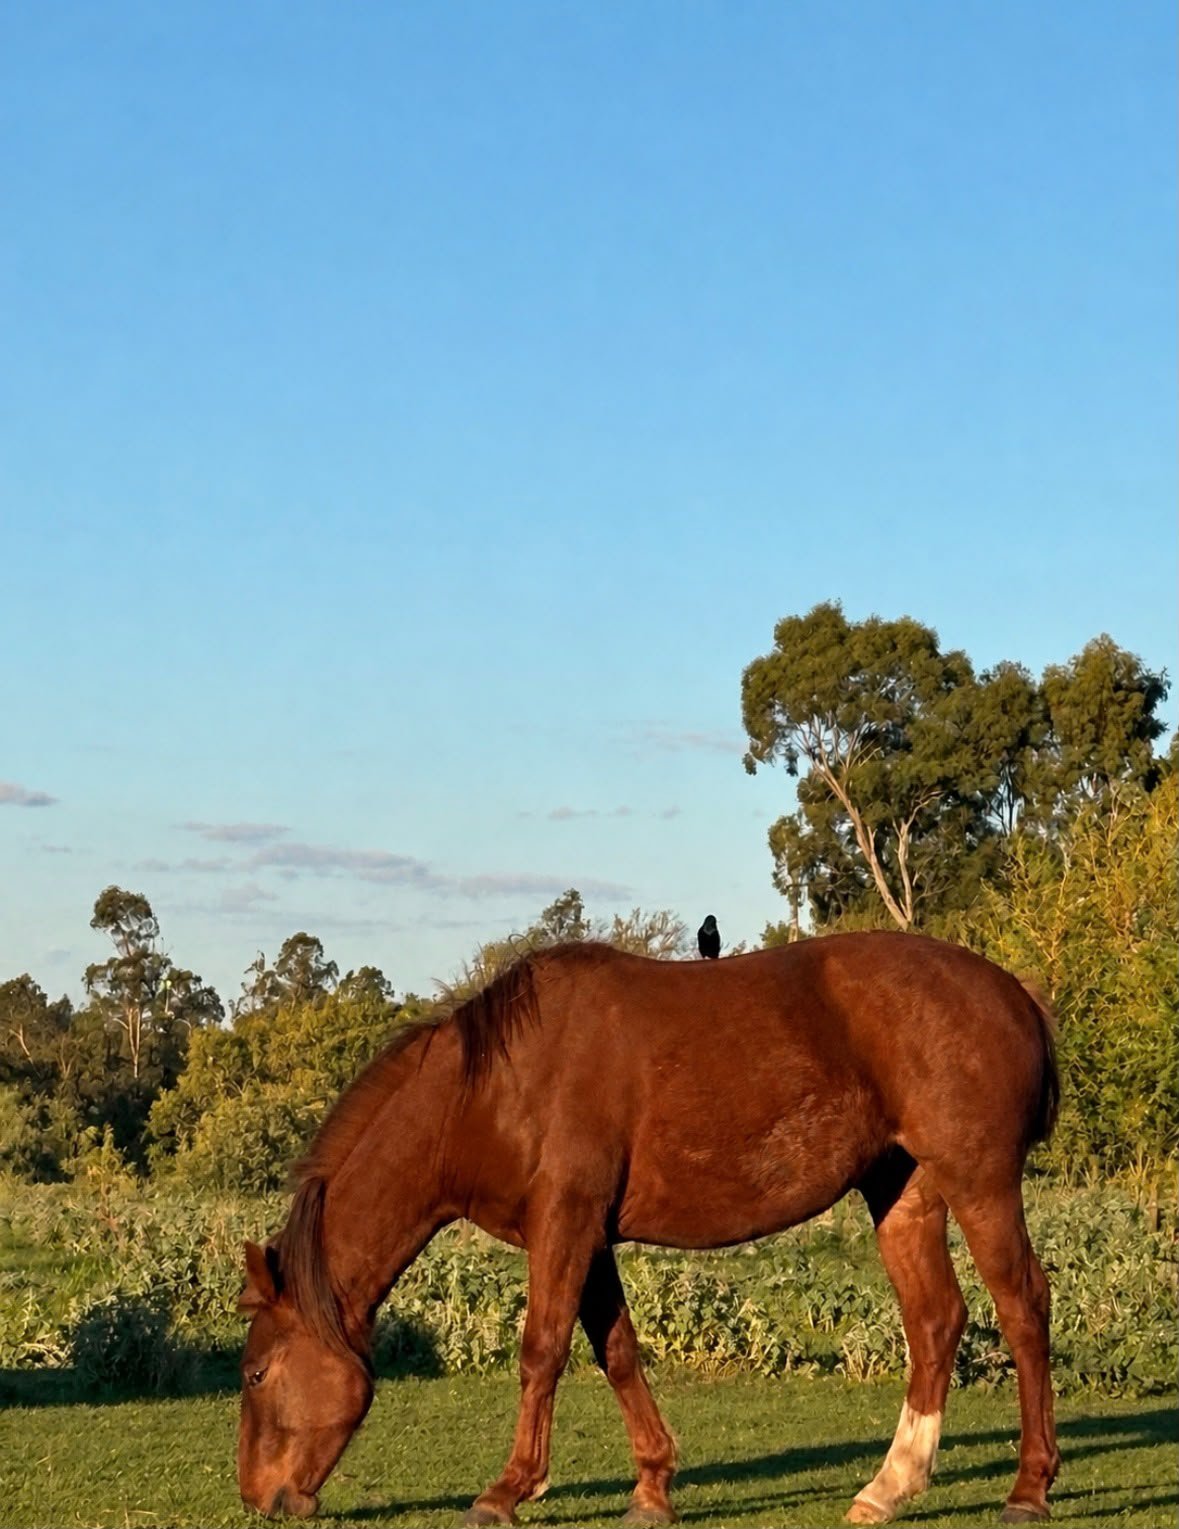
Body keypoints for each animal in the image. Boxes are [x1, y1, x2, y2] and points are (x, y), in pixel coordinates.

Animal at [237, 931, 1061, 1526]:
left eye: (254, 1374)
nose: (259, 1497)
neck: (493, 1089)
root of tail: (1011, 990)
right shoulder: (586, 1235)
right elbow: (618, 1352)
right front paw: (654, 1487)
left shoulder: (563, 1225)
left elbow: (542, 1351)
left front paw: (506, 1490)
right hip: (902, 1194)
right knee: (935, 1322)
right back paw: (888, 1486)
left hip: (980, 1184)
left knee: (1023, 1307)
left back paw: (1028, 1488)